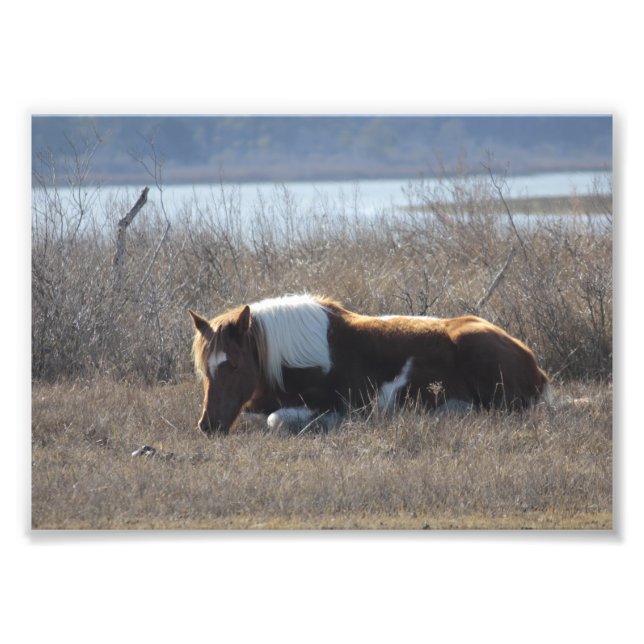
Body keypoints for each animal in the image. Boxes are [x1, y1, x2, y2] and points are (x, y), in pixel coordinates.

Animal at [189, 293, 549, 435]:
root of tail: (534, 366)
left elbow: (275, 419)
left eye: (234, 365)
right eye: (205, 369)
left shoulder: (345, 405)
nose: (208, 425)